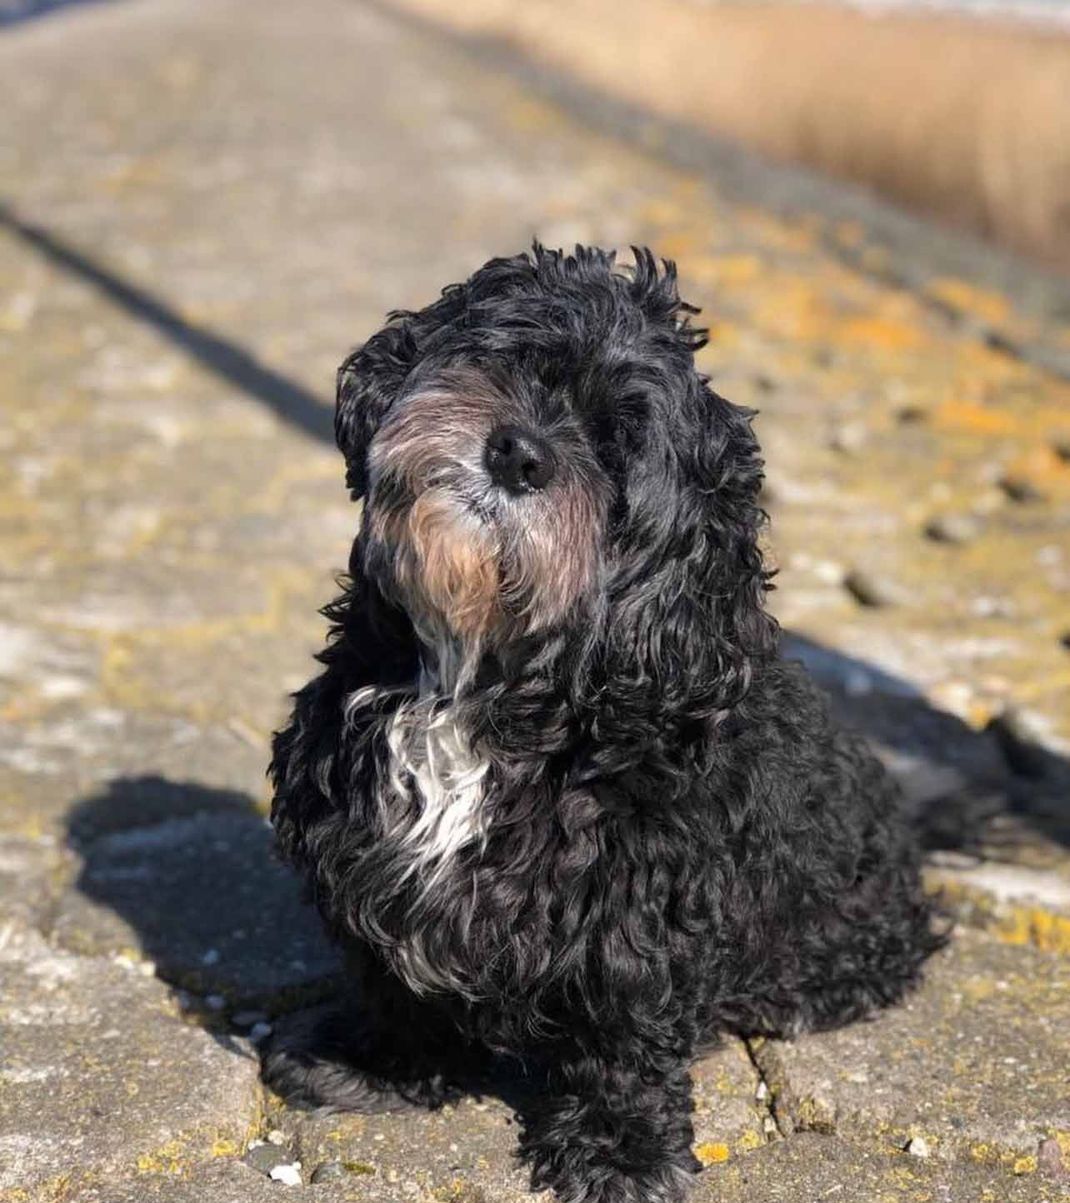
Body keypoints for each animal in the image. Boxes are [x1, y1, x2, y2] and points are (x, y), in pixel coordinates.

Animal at [267, 246, 943, 1203]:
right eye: (519, 363)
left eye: (617, 448)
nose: (518, 452)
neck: (480, 683)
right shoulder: (361, 848)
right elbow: (389, 979)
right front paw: (379, 1064)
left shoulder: (638, 904)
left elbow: (624, 1037)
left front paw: (621, 1150)